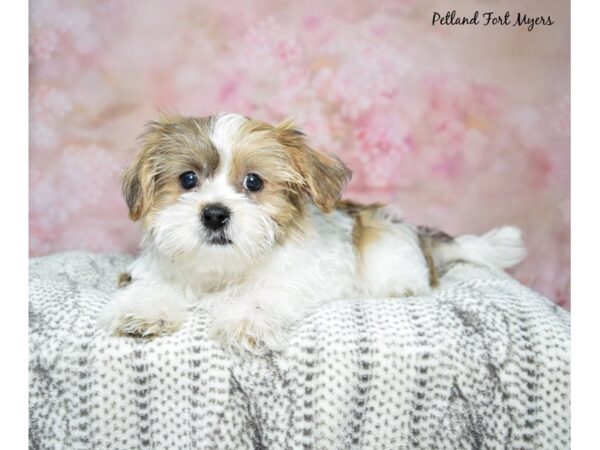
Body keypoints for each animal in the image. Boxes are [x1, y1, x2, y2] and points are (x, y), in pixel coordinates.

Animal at [98, 113, 524, 356]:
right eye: (188, 179)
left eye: (253, 182)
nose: (215, 213)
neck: (224, 267)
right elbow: (155, 285)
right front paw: (146, 309)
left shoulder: (296, 277)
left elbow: (264, 294)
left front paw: (245, 321)